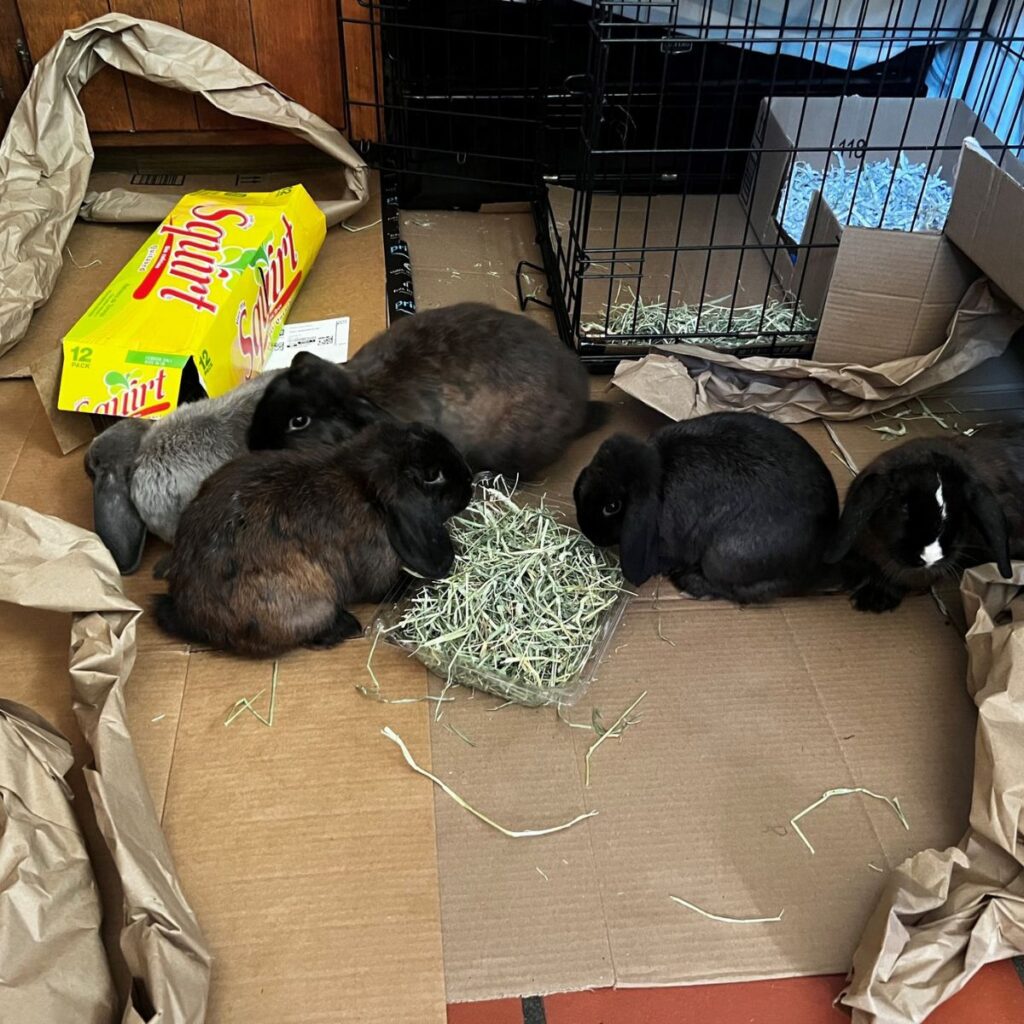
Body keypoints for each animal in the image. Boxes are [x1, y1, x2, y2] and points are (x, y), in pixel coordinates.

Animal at [154, 420, 473, 658]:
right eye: (433, 476)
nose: (470, 484)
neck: (366, 489)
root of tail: (189, 615)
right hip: (312, 603)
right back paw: (347, 626)